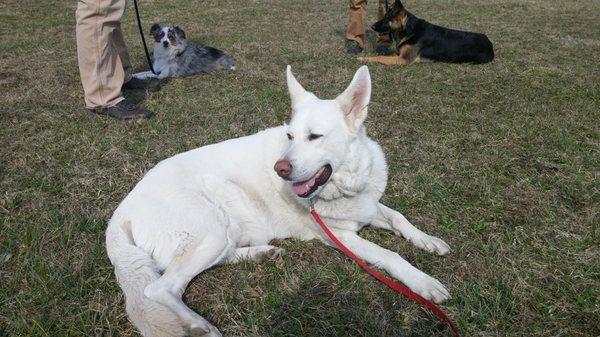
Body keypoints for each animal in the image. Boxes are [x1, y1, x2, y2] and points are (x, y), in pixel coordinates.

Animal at [106, 65, 450, 336]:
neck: (345, 184)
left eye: (314, 136)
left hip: (221, 233)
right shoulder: (341, 237)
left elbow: (399, 218)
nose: (280, 169)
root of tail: (118, 216)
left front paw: (429, 241)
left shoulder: (367, 206)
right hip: (212, 227)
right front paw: (423, 282)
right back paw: (199, 325)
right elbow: (391, 255)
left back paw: (261, 254)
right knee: (160, 287)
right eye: (290, 136)